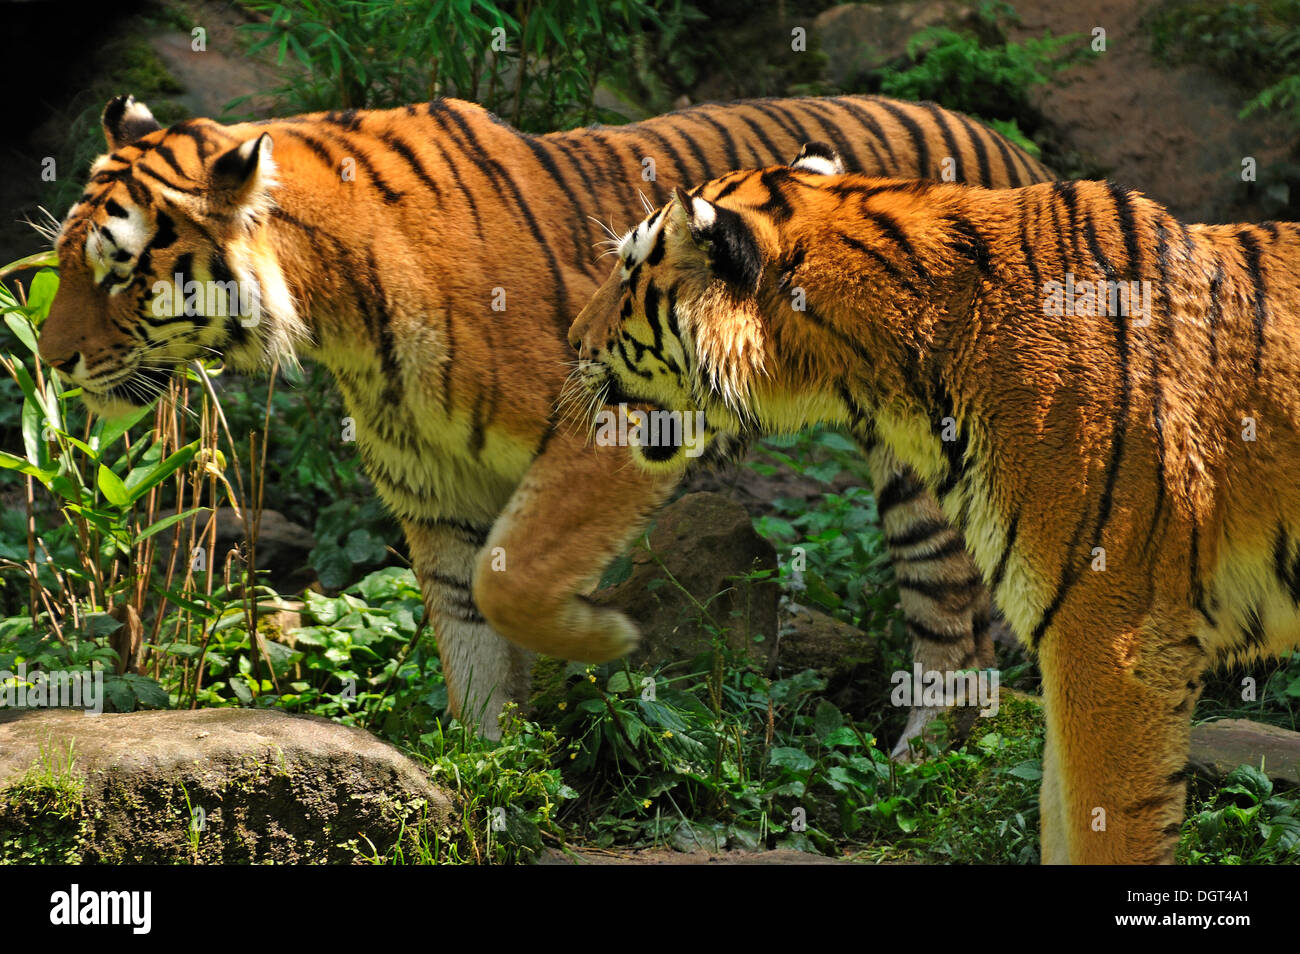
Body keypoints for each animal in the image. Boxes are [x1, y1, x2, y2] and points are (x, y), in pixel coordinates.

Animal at [40, 91, 1050, 748]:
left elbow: (510, 581)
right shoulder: (436, 493)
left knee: (956, 631)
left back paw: (919, 765)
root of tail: (1020, 157)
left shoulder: (621, 419)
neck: (336, 312)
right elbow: (471, 638)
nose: (49, 361)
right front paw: (492, 777)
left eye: (119, 270)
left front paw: (609, 639)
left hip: (929, 467)